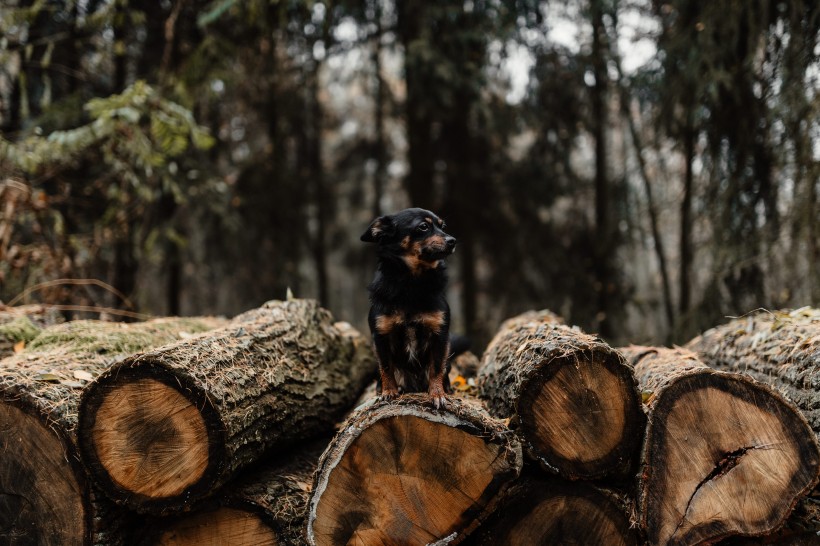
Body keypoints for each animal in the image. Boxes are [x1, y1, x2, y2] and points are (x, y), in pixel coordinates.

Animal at [362, 206, 458, 406]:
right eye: (423, 227)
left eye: (442, 226)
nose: (453, 240)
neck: (412, 283)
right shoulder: (381, 336)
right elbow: (386, 367)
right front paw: (389, 391)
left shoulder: (440, 335)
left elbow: (436, 367)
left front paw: (437, 394)